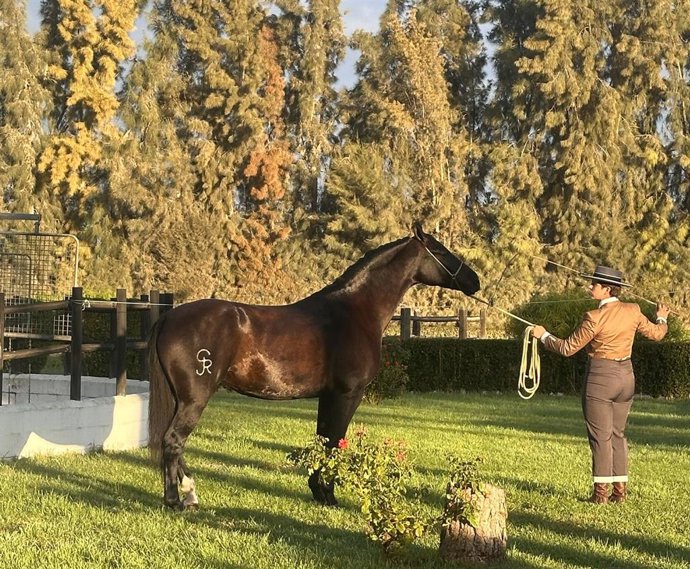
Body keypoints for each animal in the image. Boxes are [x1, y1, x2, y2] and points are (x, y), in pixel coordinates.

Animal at [148, 223, 480, 510]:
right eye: (440, 250)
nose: (475, 281)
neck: (354, 312)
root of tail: (168, 317)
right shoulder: (347, 394)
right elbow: (334, 442)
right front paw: (330, 495)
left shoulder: (327, 396)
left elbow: (322, 439)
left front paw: (318, 492)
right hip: (195, 399)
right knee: (173, 441)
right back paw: (176, 501)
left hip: (181, 399)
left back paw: (190, 494)